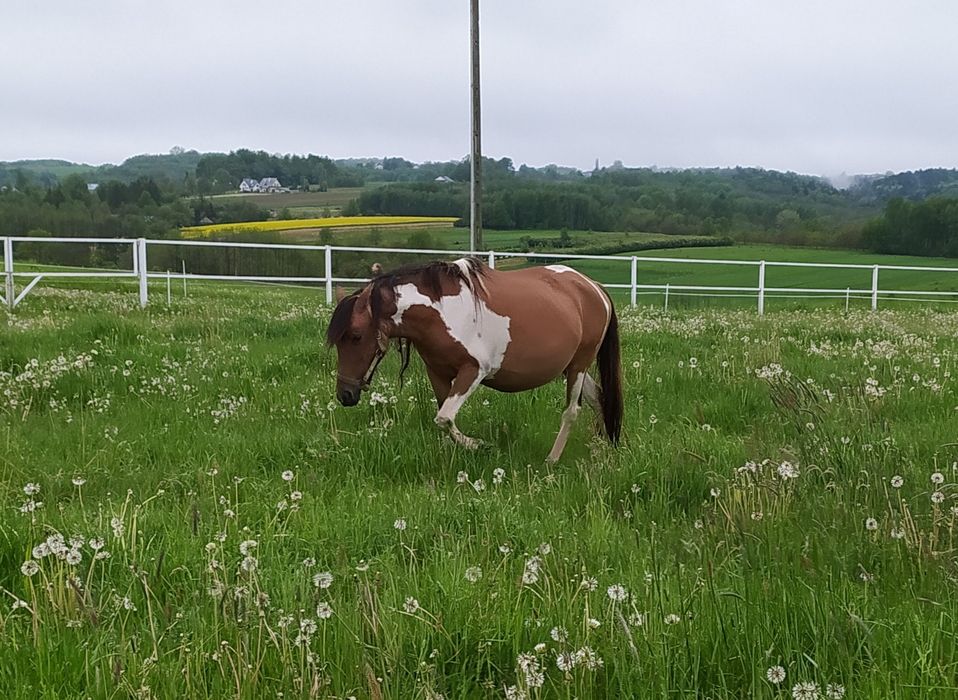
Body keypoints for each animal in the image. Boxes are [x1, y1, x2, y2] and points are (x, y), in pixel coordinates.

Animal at [326, 260, 628, 462]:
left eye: (355, 336)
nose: (345, 394)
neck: (440, 313)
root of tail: (594, 288)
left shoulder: (474, 371)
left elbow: (444, 417)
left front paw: (479, 445)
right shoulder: (438, 373)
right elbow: (444, 419)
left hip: (579, 364)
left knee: (572, 411)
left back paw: (552, 460)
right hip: (571, 368)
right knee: (599, 398)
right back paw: (603, 449)